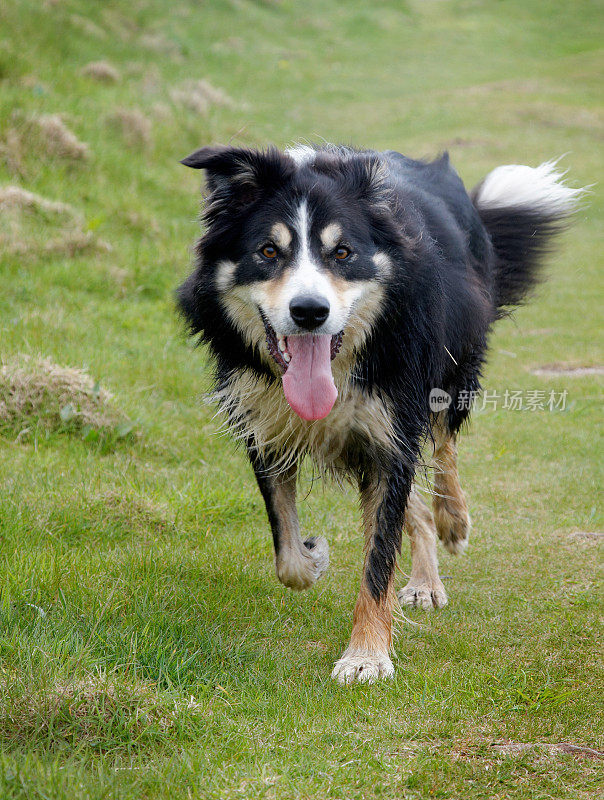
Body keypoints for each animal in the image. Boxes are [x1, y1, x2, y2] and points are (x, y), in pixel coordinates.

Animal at [178, 144, 580, 680]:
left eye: (342, 253)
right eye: (268, 251)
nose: (310, 312)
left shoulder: (393, 423)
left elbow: (378, 557)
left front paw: (366, 656)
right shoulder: (263, 421)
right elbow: (286, 549)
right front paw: (313, 556)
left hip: (451, 368)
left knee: (445, 448)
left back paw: (453, 521)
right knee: (415, 501)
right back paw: (425, 578)